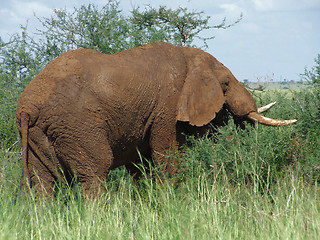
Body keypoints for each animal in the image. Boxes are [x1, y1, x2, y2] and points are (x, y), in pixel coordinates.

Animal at [15, 42, 298, 198]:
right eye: (226, 84)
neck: (188, 56)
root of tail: (27, 106)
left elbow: (141, 165)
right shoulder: (168, 106)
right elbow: (166, 155)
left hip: (40, 134)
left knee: (43, 182)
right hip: (77, 125)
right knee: (94, 172)